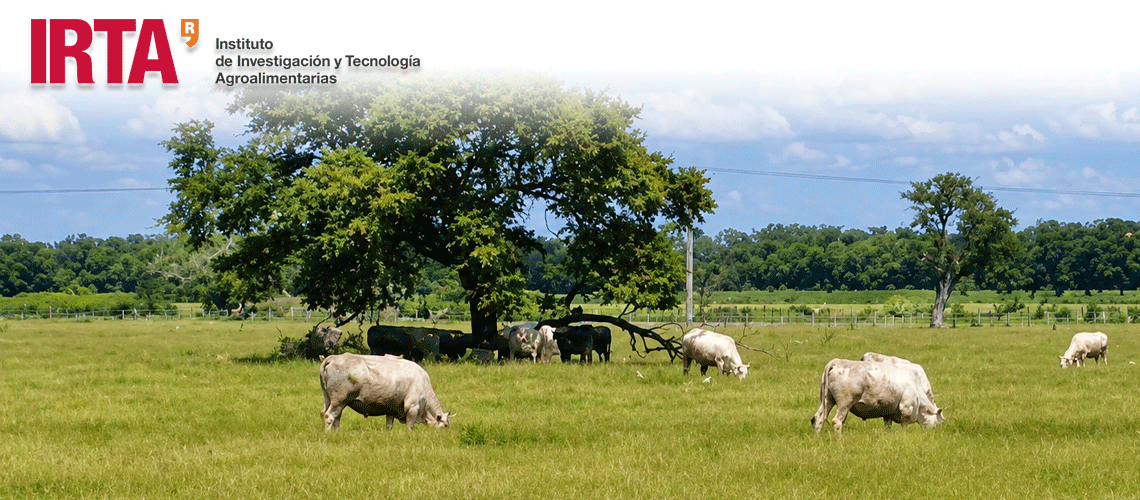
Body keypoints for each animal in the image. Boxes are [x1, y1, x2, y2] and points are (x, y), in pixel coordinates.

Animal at [319, 353, 454, 431]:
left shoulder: (391, 409)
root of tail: (334, 357)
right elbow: (410, 426)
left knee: (336, 417)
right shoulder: (412, 406)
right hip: (339, 400)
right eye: (445, 425)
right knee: (329, 416)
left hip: (333, 401)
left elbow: (389, 425)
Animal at [811, 358, 944, 434]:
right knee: (837, 421)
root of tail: (837, 362)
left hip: (827, 400)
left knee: (818, 418)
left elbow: (888, 427)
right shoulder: (906, 408)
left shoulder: (888, 413)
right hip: (844, 404)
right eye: (940, 422)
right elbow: (904, 426)